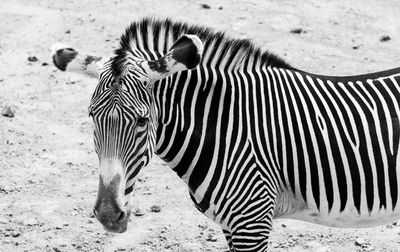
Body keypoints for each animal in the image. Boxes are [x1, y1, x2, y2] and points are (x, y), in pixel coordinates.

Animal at [51, 17, 400, 250]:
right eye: (92, 117)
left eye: (142, 121)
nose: (109, 215)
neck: (225, 127)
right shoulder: (232, 226)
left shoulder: (252, 223)